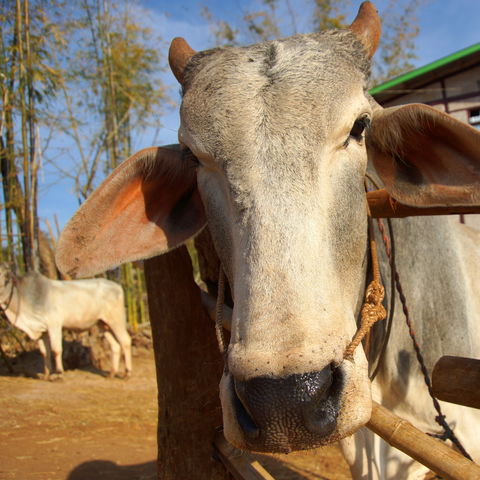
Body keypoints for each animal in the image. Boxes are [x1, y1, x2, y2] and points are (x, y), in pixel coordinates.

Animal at [0, 262, 131, 378]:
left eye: (5, 277)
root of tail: (117, 286)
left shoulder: (54, 325)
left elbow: (56, 350)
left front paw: (59, 373)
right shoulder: (41, 331)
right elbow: (45, 353)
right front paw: (46, 374)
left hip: (116, 320)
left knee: (125, 341)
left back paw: (127, 373)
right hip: (102, 324)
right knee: (115, 345)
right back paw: (112, 373)